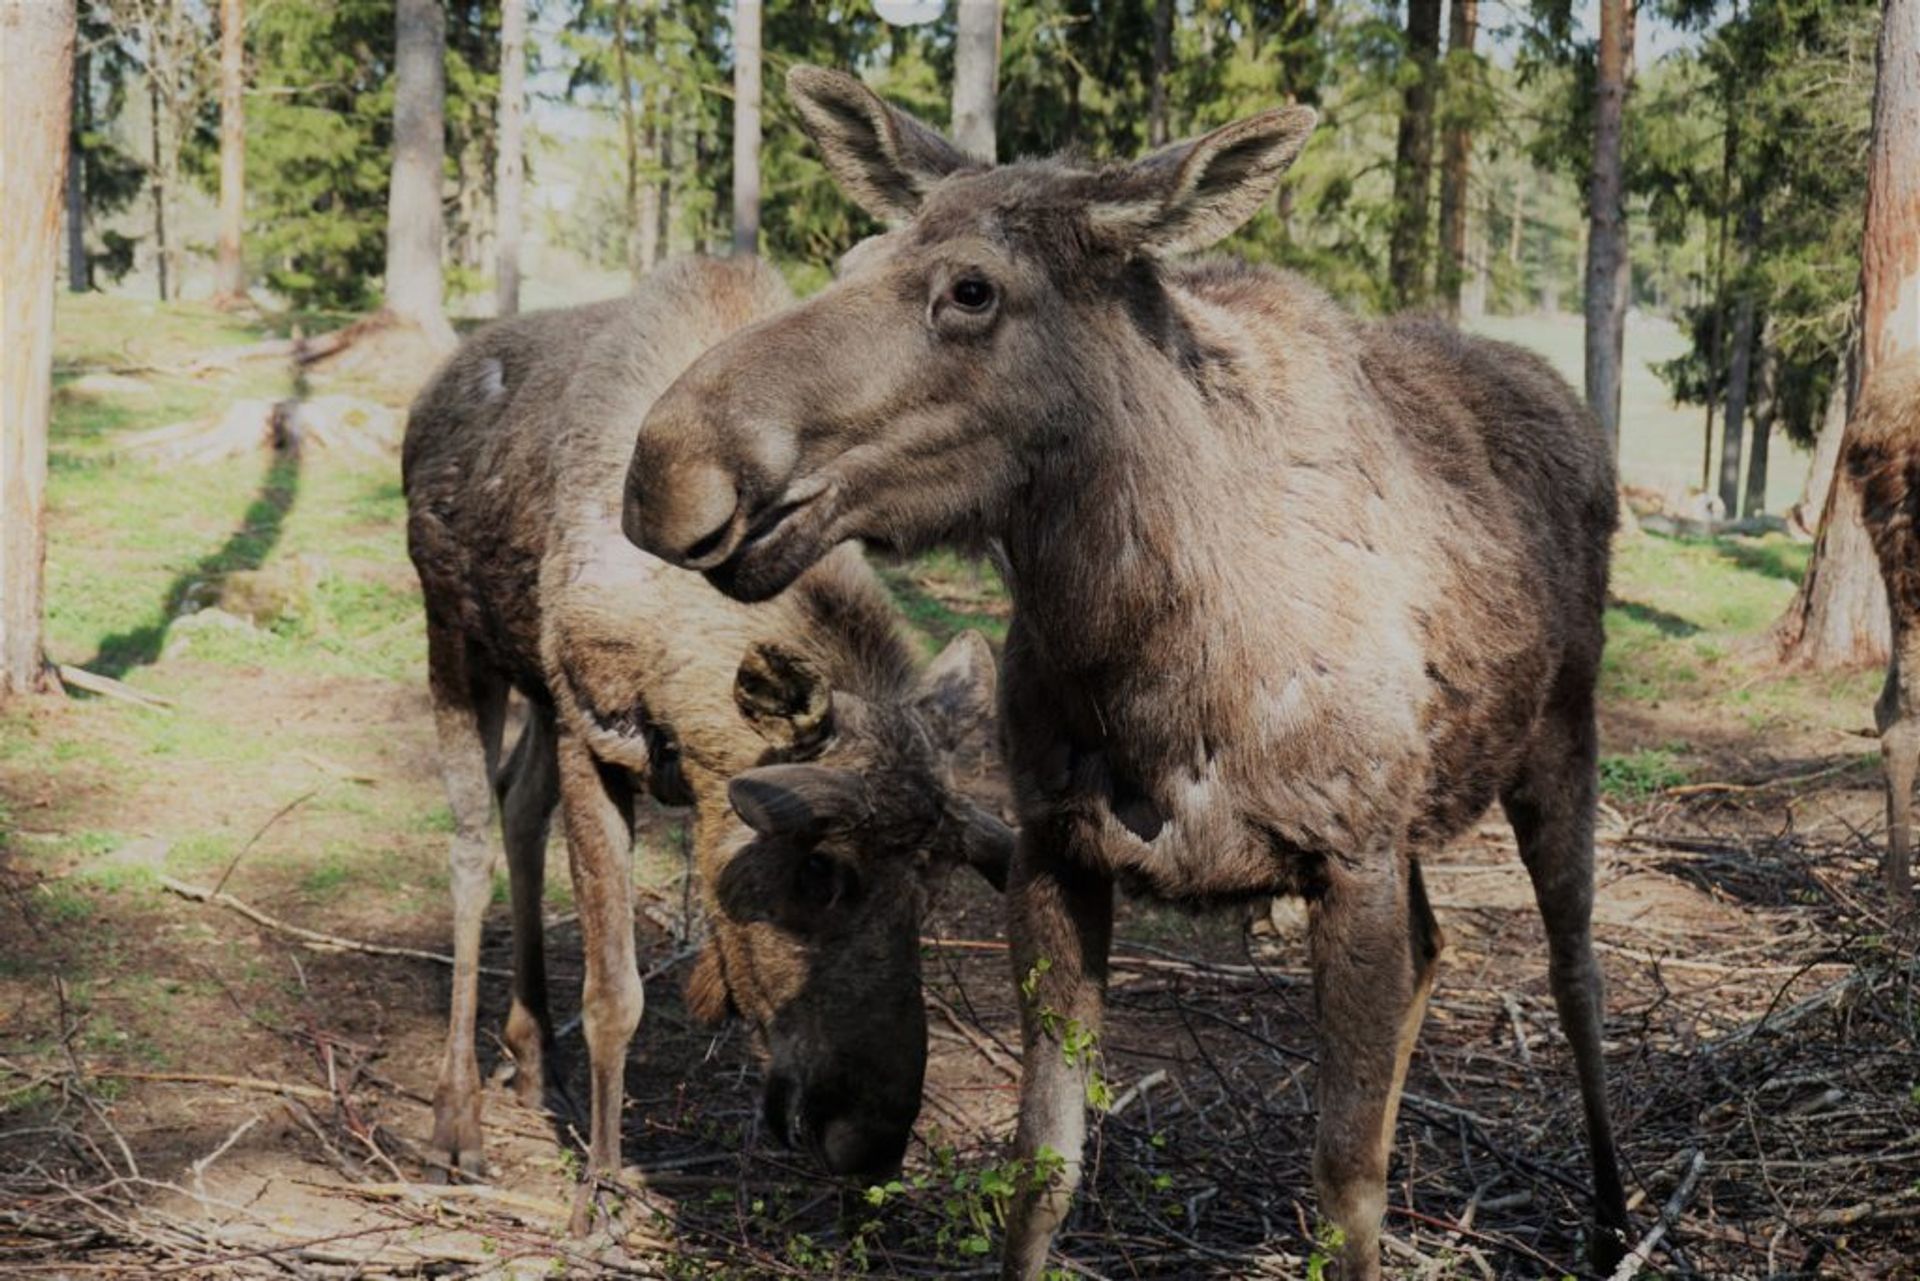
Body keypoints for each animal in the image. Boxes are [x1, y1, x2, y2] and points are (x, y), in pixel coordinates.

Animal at [625, 72, 1635, 1281]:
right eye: (856, 253)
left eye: (972, 288)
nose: (664, 466)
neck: (1146, 662)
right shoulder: (1061, 850)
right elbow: (1043, 1166)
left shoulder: (1350, 858)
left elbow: (1348, 1190)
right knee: (1439, 949)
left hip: (1559, 743)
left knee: (1577, 975)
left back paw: (1614, 1218)